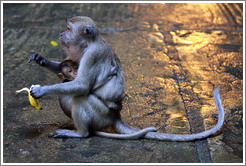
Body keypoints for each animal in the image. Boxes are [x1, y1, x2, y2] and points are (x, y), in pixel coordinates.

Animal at [29, 15, 225, 141]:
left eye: (69, 28)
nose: (61, 34)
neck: (88, 44)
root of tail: (115, 116)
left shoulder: (93, 55)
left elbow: (82, 86)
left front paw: (42, 90)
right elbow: (67, 69)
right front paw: (42, 60)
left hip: (102, 114)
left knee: (81, 97)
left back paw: (81, 133)